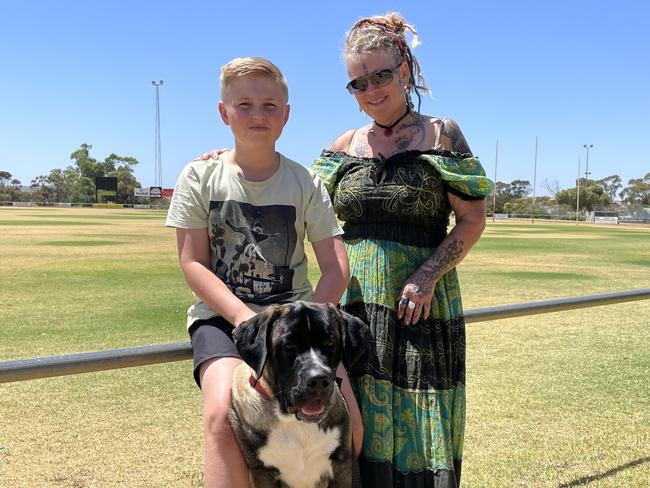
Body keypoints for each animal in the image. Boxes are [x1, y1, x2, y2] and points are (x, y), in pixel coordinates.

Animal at [229, 302, 370, 488]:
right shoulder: (262, 473)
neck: (293, 422)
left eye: (330, 342)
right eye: (289, 346)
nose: (318, 379)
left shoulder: (342, 466)